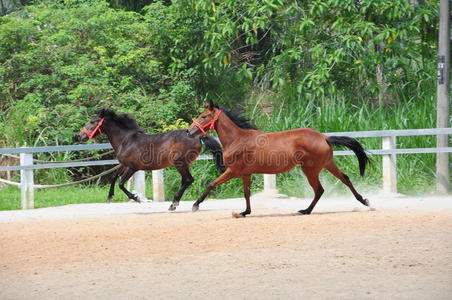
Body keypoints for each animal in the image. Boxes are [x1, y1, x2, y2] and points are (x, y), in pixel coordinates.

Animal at [80, 108, 225, 211]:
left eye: (92, 122)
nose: (80, 135)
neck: (126, 140)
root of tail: (197, 136)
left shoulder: (132, 167)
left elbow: (121, 183)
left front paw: (136, 198)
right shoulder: (124, 165)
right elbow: (114, 176)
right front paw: (110, 197)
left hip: (179, 163)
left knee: (188, 180)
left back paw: (174, 204)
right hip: (183, 164)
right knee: (186, 181)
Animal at [185, 102, 370, 217]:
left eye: (203, 116)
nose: (188, 131)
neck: (237, 139)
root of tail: (324, 137)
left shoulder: (233, 171)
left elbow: (211, 184)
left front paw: (195, 205)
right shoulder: (245, 173)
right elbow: (246, 193)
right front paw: (245, 212)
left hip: (310, 169)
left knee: (319, 190)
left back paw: (305, 211)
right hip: (327, 164)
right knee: (345, 179)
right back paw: (364, 201)